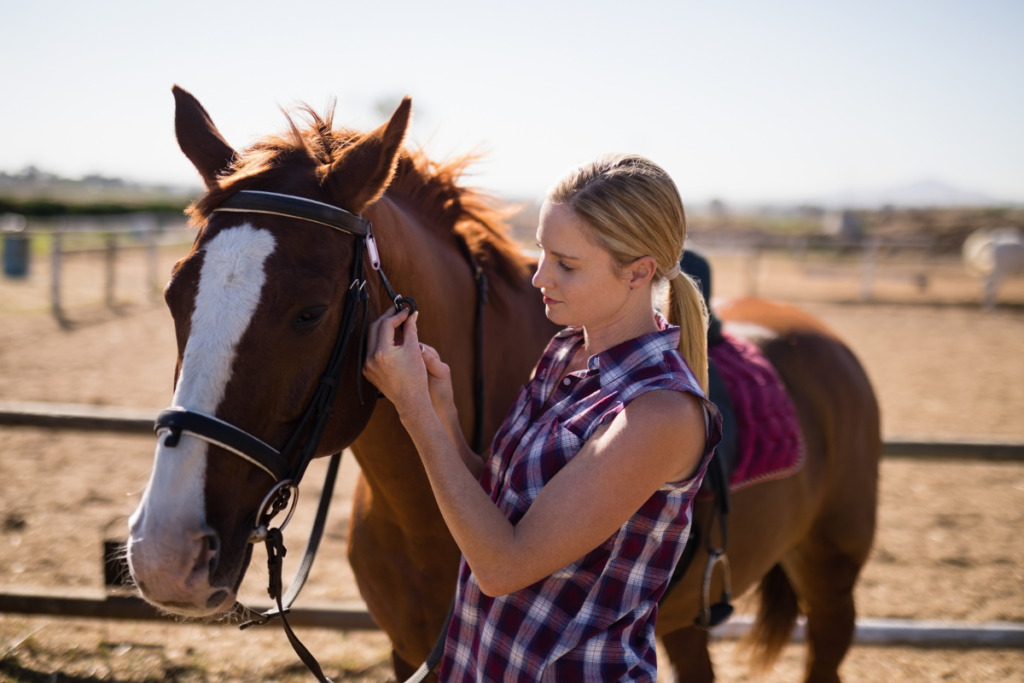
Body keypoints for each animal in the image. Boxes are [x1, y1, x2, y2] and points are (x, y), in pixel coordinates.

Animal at [125, 87, 880, 683]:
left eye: (309, 312)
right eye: (173, 295)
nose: (165, 555)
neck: (423, 518)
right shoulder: (406, 653)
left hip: (833, 585)